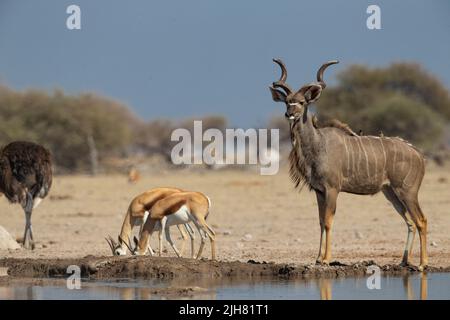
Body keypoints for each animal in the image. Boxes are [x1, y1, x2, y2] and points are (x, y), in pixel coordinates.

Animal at [268, 58, 428, 270]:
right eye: (287, 102)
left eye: (302, 102)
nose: (289, 114)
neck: (318, 143)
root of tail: (418, 154)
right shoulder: (319, 191)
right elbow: (320, 221)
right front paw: (317, 258)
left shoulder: (332, 189)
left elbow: (328, 221)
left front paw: (326, 259)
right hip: (391, 193)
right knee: (410, 222)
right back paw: (404, 261)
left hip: (407, 191)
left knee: (421, 220)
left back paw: (422, 264)